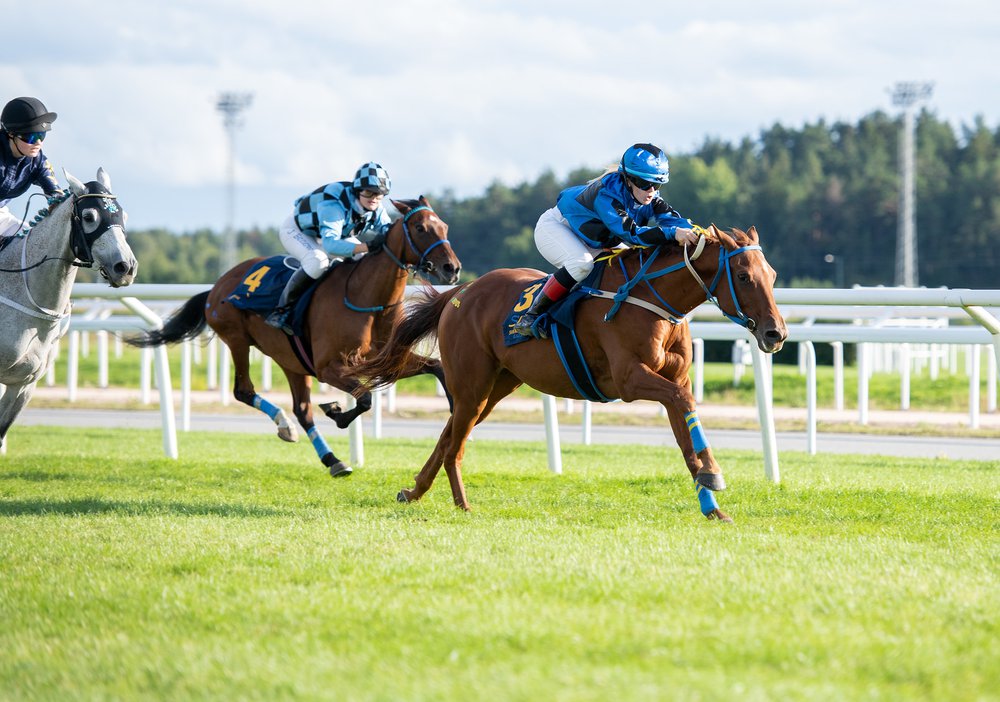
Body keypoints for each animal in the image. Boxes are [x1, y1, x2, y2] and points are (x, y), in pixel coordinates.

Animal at [126, 198, 464, 478]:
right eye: (420, 227)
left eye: (445, 226)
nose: (452, 268)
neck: (367, 298)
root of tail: (218, 285)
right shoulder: (329, 367)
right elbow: (365, 398)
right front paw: (337, 412)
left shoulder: (384, 357)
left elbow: (436, 367)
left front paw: (456, 411)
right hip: (236, 338)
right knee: (244, 391)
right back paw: (285, 425)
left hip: (291, 360)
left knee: (302, 410)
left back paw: (333, 460)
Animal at [352, 226, 788, 524]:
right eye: (744, 276)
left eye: (772, 274)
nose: (776, 333)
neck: (651, 300)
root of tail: (461, 293)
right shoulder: (630, 379)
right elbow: (685, 403)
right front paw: (714, 475)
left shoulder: (673, 380)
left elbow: (685, 433)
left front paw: (712, 505)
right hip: (473, 383)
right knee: (455, 444)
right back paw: (462, 504)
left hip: (496, 386)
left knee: (449, 435)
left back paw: (414, 491)